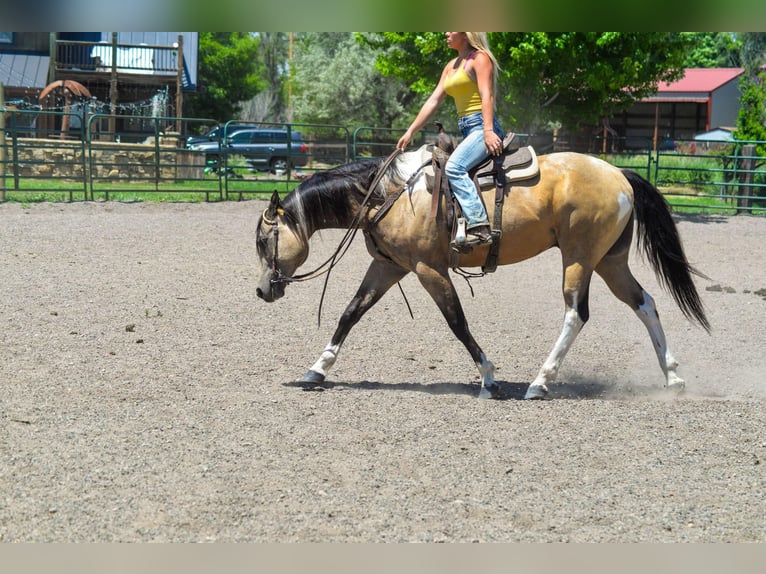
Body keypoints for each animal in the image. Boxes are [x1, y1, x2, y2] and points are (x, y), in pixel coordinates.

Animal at [255, 145, 710, 400]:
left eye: (262, 240)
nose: (262, 291)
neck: (391, 194)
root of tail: (619, 174)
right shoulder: (388, 265)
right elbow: (351, 312)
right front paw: (317, 369)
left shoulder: (428, 269)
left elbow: (457, 322)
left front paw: (489, 379)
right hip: (610, 261)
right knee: (644, 303)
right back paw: (673, 378)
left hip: (579, 259)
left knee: (576, 314)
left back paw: (539, 383)